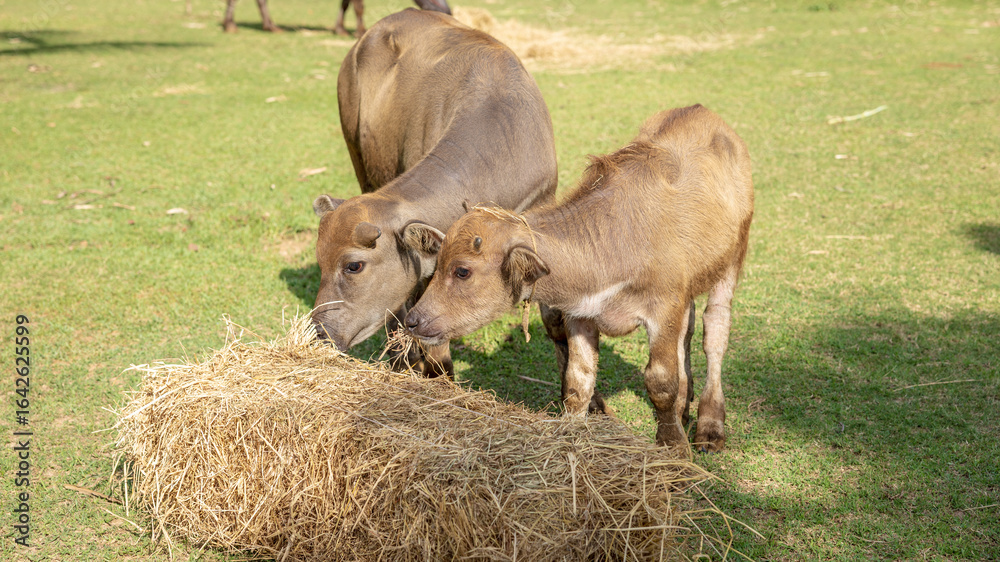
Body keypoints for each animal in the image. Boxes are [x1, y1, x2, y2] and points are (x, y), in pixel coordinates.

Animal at [404, 105, 754, 452]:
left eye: (462, 271)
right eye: (438, 263)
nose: (413, 320)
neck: (614, 243)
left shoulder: (664, 308)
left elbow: (660, 382)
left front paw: (673, 444)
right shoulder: (581, 314)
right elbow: (578, 381)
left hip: (733, 258)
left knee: (715, 332)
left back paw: (710, 425)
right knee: (689, 328)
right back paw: (687, 401)